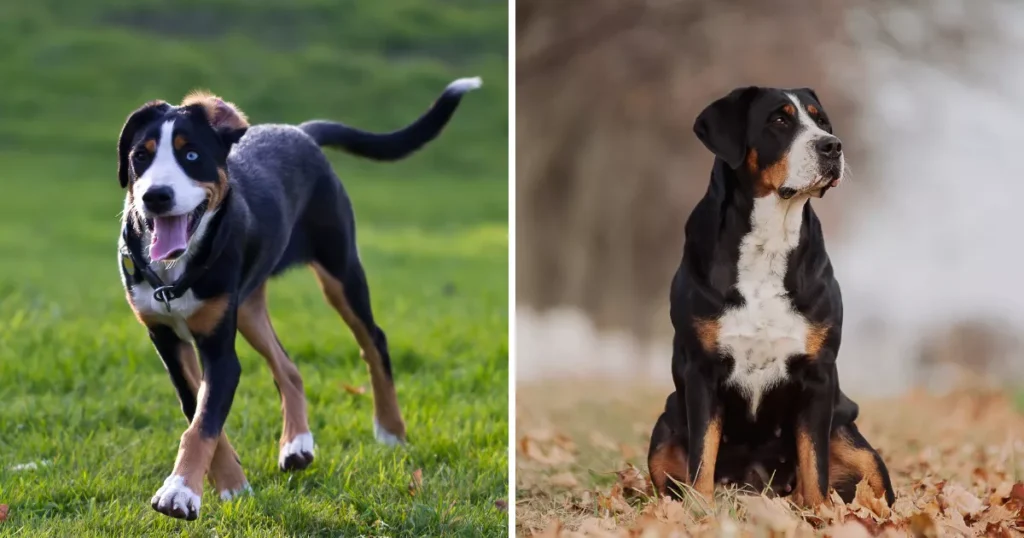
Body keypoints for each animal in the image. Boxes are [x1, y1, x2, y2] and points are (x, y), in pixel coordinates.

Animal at [647, 86, 897, 506]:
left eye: (822, 121)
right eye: (779, 120)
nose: (832, 146)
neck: (770, 240)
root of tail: (756, 485)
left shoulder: (818, 374)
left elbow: (814, 464)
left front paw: (821, 513)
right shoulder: (700, 369)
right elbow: (702, 456)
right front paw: (700, 512)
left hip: (854, 440)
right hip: (665, 427)